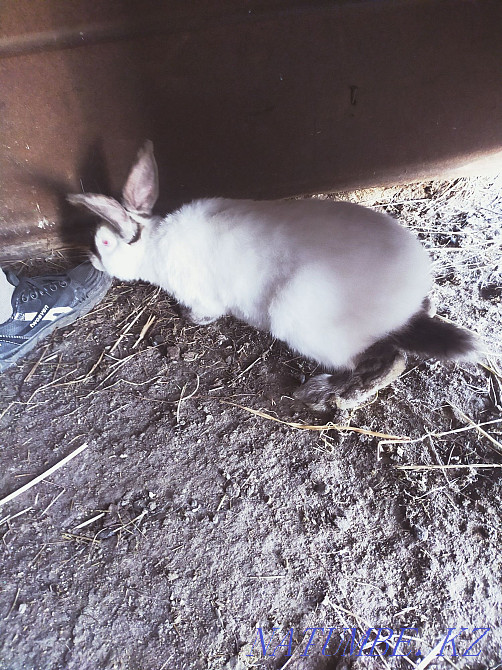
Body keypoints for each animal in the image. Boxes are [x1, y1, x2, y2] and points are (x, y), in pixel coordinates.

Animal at [68, 141, 476, 411]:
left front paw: (186, 316)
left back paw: (323, 393)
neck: (153, 245)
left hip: (302, 322)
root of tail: (402, 313)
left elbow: (203, 313)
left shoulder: (204, 298)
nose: (92, 259)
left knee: (383, 360)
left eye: (104, 241)